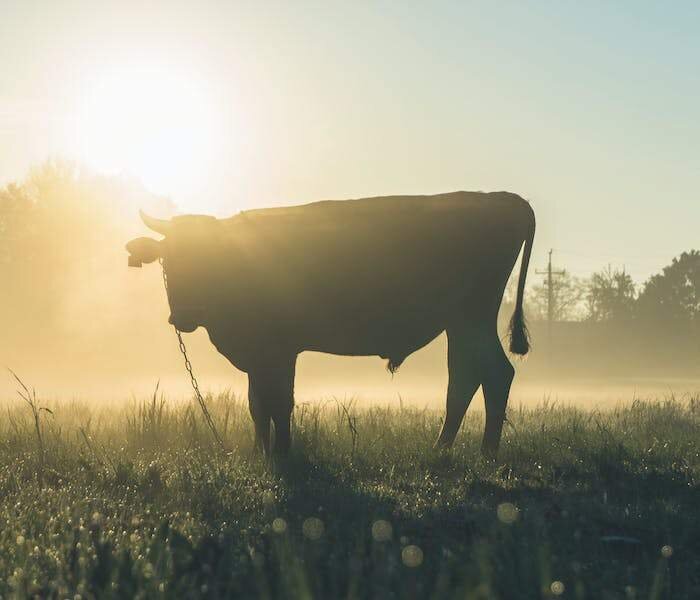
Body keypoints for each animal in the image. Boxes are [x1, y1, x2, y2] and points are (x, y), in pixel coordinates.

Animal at [127, 192, 536, 460]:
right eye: (169, 259)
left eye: (207, 256)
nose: (183, 315)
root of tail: (501, 198)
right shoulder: (259, 355)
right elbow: (257, 404)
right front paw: (260, 453)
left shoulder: (279, 350)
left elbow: (279, 403)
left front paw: (282, 454)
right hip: (461, 323)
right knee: (467, 377)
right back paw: (445, 448)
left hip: (472, 316)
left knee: (492, 374)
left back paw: (484, 452)